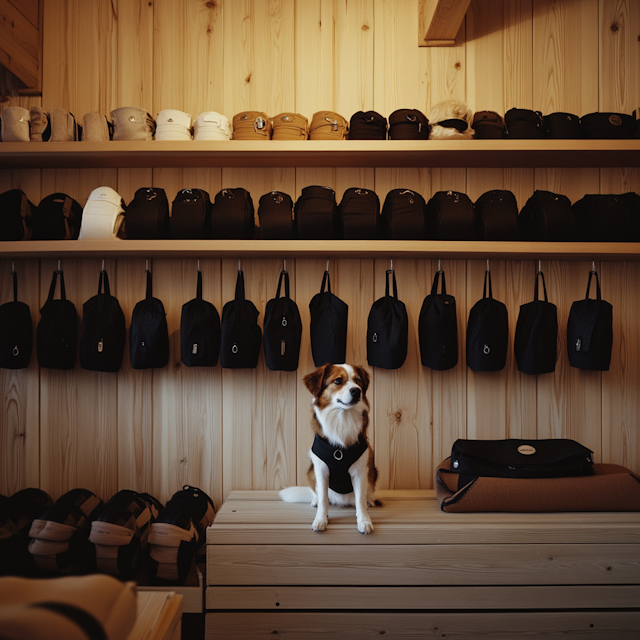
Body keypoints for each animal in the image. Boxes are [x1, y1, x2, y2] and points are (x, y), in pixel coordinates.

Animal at [278, 364, 378, 536]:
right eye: (338, 381)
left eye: (358, 380)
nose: (357, 391)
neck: (342, 418)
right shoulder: (321, 469)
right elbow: (324, 498)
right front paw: (321, 520)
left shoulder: (360, 471)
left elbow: (360, 500)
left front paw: (364, 521)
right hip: (311, 472)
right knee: (318, 493)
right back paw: (315, 500)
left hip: (373, 472)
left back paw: (369, 500)